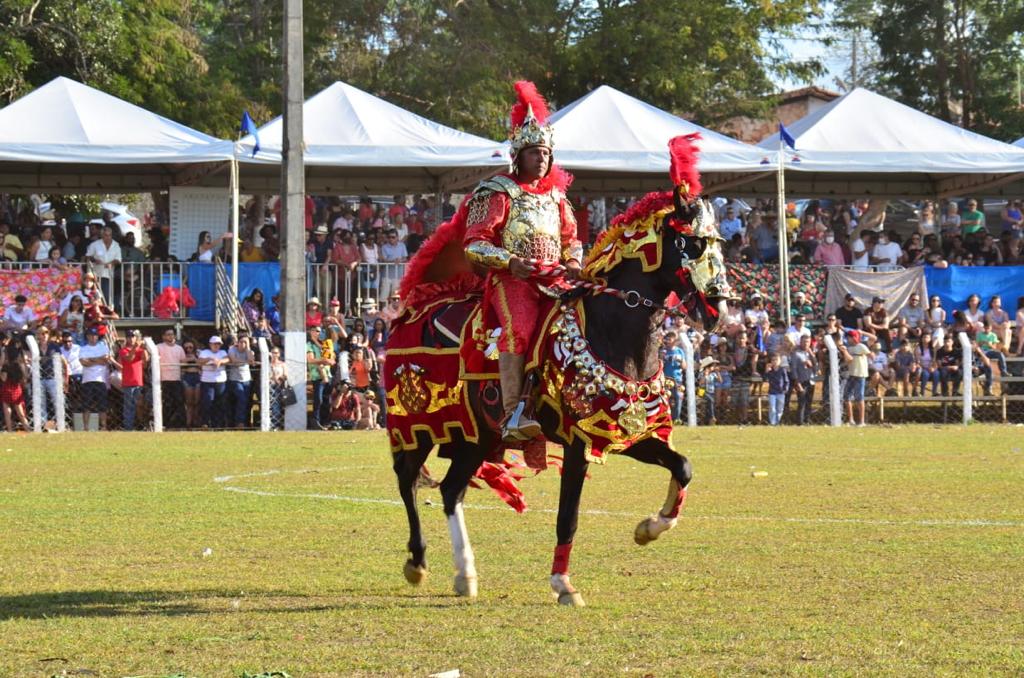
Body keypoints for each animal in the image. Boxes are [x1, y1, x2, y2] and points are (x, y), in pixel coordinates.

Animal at [385, 176, 729, 610]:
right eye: (693, 243)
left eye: (718, 242)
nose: (720, 305)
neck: (610, 329)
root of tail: (412, 309)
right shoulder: (578, 444)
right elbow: (568, 518)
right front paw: (563, 583)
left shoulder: (626, 434)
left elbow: (683, 466)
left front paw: (649, 528)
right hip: (416, 428)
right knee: (408, 483)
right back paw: (417, 561)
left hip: (476, 437)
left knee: (450, 491)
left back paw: (465, 574)